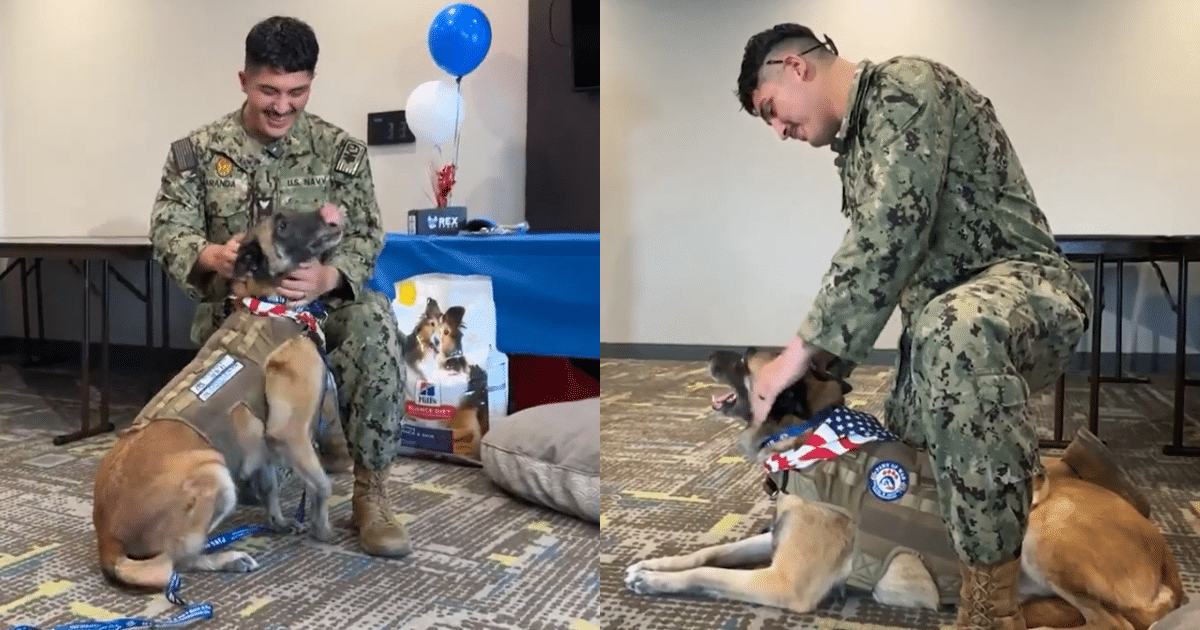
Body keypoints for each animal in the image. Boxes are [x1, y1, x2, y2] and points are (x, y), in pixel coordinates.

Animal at [93, 207, 348, 595]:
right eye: (282, 225)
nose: (329, 214)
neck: (271, 306)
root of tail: (106, 538)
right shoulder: (291, 435)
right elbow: (321, 485)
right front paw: (323, 529)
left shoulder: (266, 443)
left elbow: (271, 487)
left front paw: (278, 521)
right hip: (214, 473)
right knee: (178, 560)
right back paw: (227, 558)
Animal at [624, 345, 1185, 624]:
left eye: (744, 360)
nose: (710, 354)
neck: (810, 432)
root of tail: (1164, 551)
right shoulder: (775, 541)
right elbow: (709, 553)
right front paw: (655, 565)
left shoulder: (784, 583)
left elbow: (710, 574)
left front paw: (659, 582)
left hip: (1044, 535)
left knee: (1114, 625)